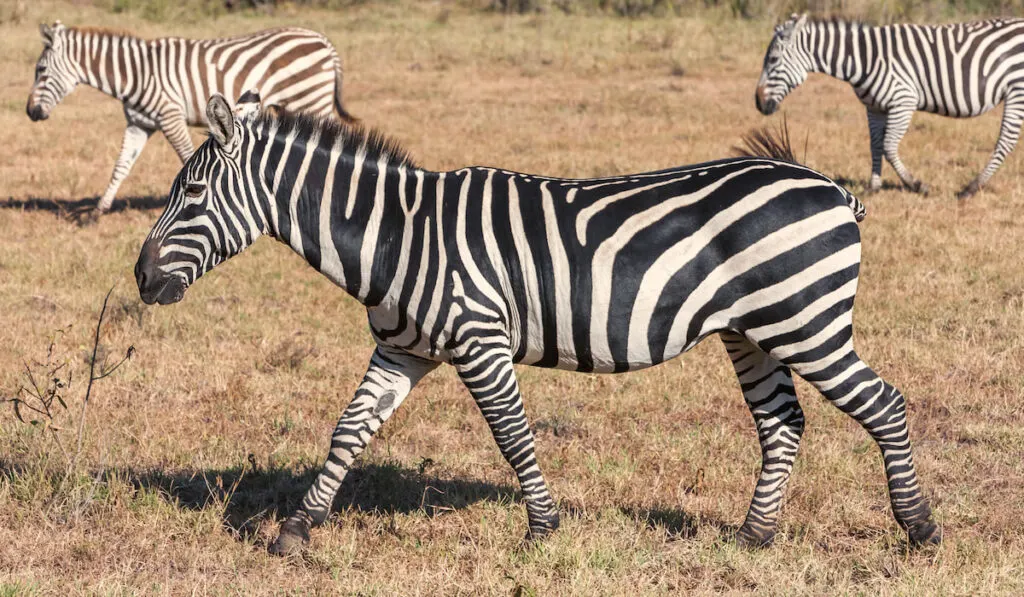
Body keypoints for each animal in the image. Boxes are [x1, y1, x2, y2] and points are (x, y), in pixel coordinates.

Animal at [25, 20, 354, 212]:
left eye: (40, 70)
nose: (30, 112)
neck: (137, 73)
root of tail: (322, 40)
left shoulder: (170, 116)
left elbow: (187, 158)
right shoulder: (138, 124)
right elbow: (121, 166)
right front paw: (98, 211)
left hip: (311, 98)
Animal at [136, 92, 942, 557]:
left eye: (192, 193)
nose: (141, 279)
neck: (398, 233)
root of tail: (831, 186)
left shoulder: (479, 339)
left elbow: (513, 435)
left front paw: (543, 531)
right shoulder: (402, 348)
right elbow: (349, 430)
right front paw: (297, 531)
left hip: (806, 321)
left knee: (885, 405)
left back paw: (920, 529)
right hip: (755, 331)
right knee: (783, 424)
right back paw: (753, 538)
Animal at [753, 13, 1024, 200]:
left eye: (773, 59)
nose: (758, 103)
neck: (863, 59)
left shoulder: (903, 101)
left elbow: (889, 147)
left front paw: (917, 185)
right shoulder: (874, 107)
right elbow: (874, 145)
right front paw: (874, 186)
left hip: (1016, 89)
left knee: (1005, 142)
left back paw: (971, 188)